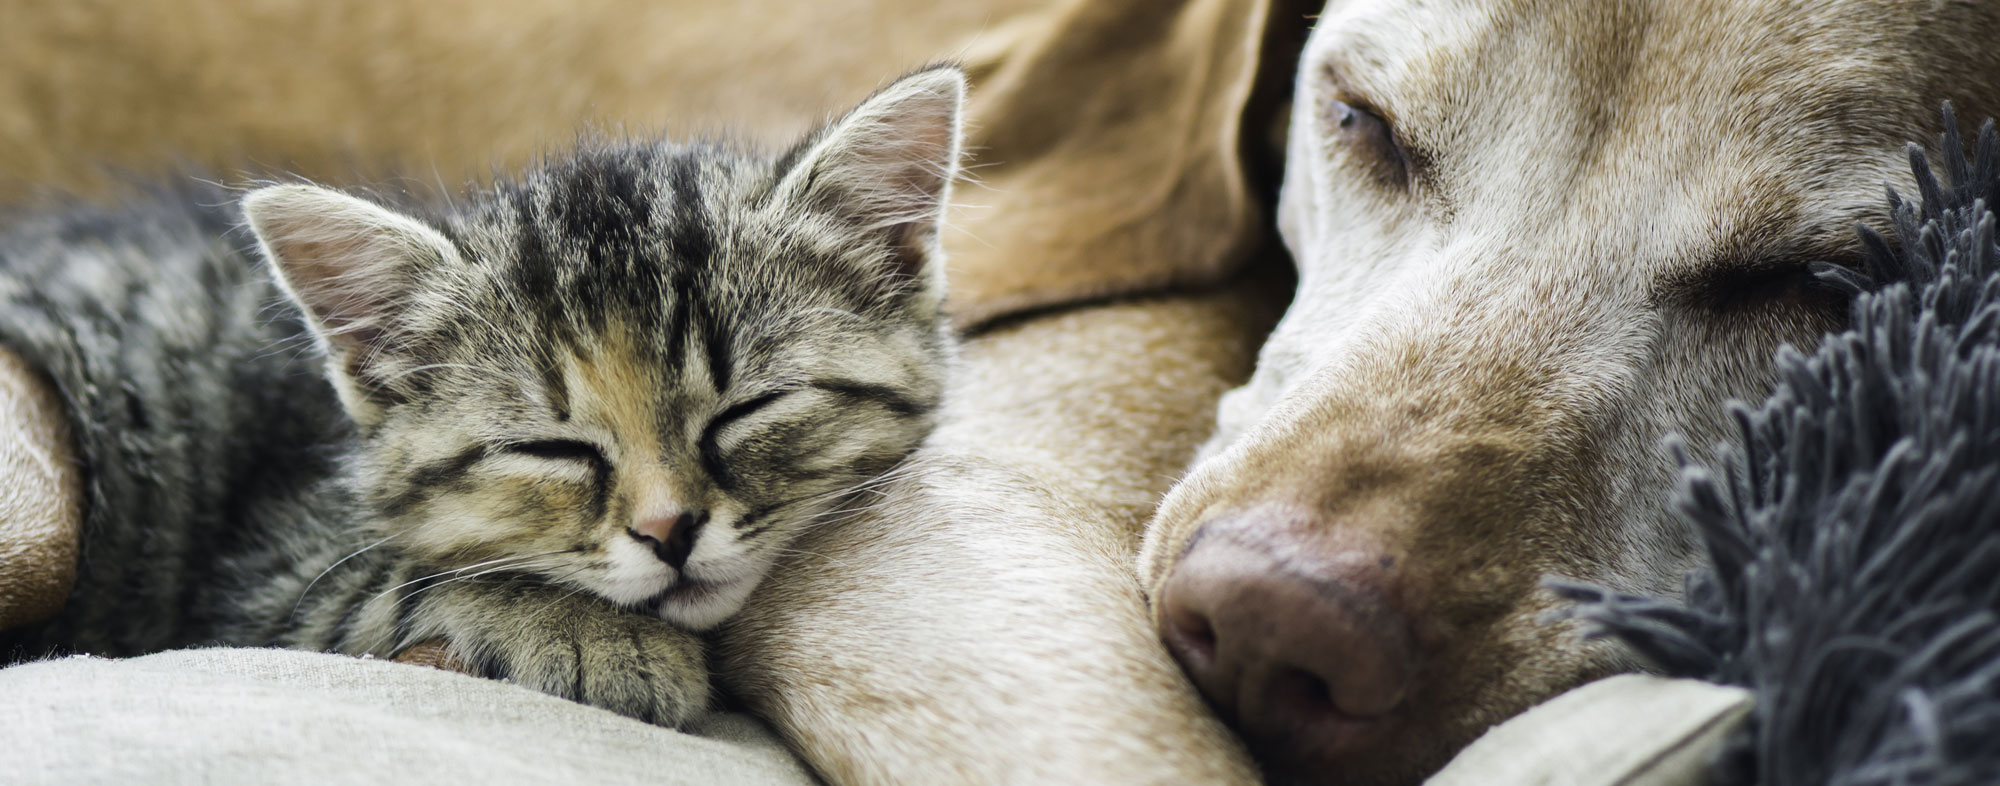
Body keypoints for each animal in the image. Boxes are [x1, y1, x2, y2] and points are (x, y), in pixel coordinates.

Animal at [0, 67, 968, 724]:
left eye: (746, 412)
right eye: (553, 449)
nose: (669, 531)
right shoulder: (264, 581)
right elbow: (407, 582)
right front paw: (599, 635)